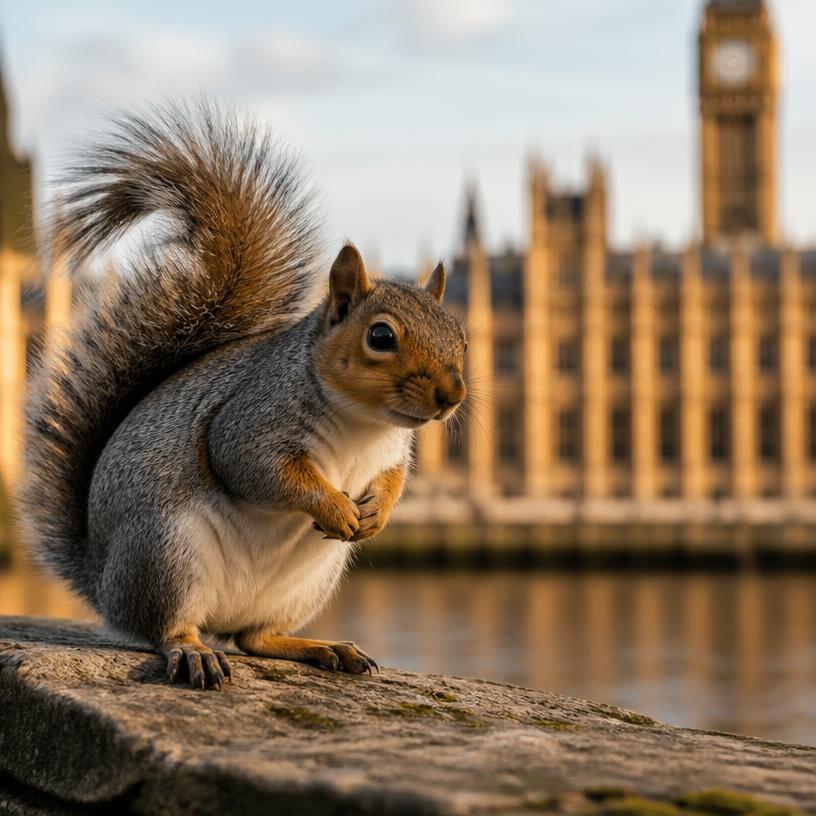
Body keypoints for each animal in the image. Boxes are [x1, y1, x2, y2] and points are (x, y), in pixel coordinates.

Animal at [20, 103, 467, 690]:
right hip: (167, 553)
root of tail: (103, 582)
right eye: (381, 336)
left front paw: (377, 515)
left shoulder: (393, 452)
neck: (365, 423)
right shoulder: (250, 420)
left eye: (461, 335)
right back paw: (194, 652)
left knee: (255, 637)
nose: (452, 395)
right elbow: (257, 468)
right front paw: (336, 507)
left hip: (307, 583)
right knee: (168, 628)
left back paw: (321, 646)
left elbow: (393, 480)